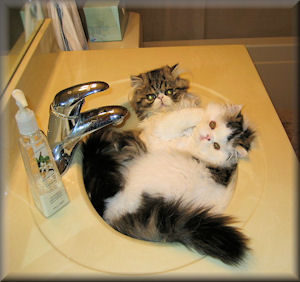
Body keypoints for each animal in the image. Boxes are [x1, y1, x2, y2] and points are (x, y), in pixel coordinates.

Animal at [82, 65, 255, 266]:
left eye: (216, 145)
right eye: (213, 125)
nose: (207, 136)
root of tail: (111, 216)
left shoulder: (165, 129)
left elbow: (180, 117)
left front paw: (198, 112)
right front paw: (202, 112)